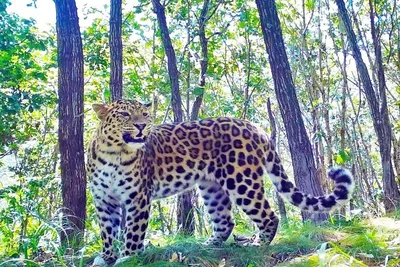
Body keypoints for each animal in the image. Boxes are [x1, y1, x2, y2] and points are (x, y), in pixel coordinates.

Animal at [87, 100, 354, 266]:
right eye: (125, 114)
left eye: (145, 115)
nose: (142, 126)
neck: (114, 153)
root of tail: (257, 128)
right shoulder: (104, 200)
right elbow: (107, 231)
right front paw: (107, 257)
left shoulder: (138, 198)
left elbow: (133, 232)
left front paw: (128, 258)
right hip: (211, 186)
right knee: (226, 220)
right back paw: (208, 246)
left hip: (242, 180)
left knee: (269, 215)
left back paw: (256, 245)